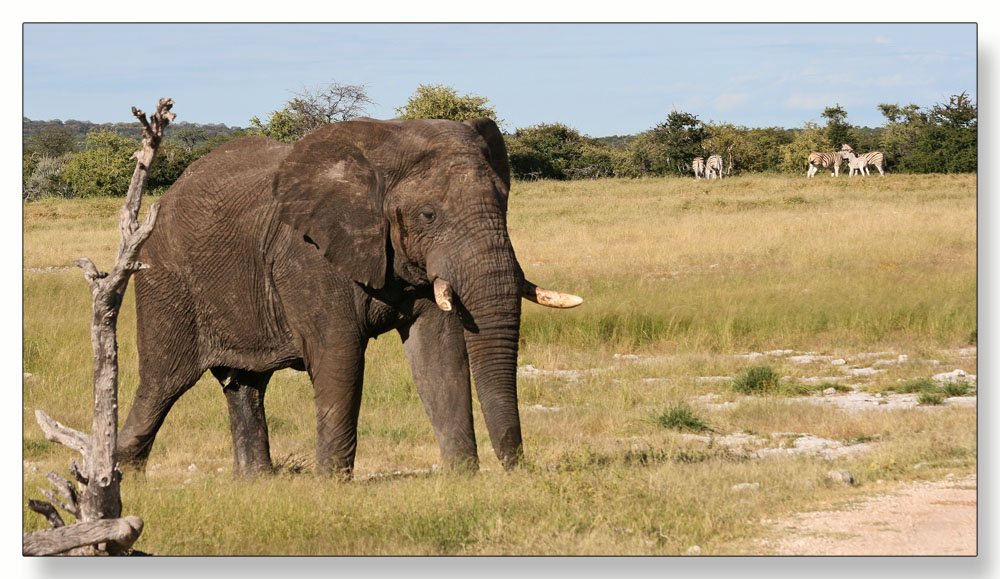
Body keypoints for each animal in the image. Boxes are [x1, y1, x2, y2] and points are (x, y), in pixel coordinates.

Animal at [120, 115, 584, 478]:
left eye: (503, 204)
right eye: (428, 214)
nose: (516, 468)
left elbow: (439, 352)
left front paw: (461, 478)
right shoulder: (305, 255)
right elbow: (338, 354)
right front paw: (332, 485)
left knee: (245, 385)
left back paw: (257, 482)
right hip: (164, 280)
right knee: (162, 383)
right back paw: (124, 478)